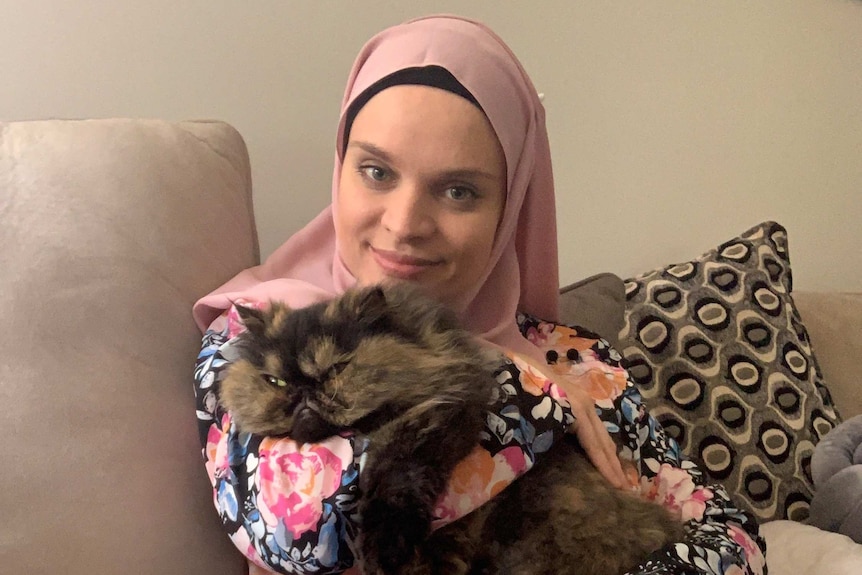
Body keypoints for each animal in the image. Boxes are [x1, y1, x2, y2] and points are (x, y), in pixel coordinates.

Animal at [219, 284, 684, 575]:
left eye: (336, 369)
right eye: (275, 381)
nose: (302, 396)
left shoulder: (438, 413)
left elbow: (394, 476)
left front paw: (385, 546)